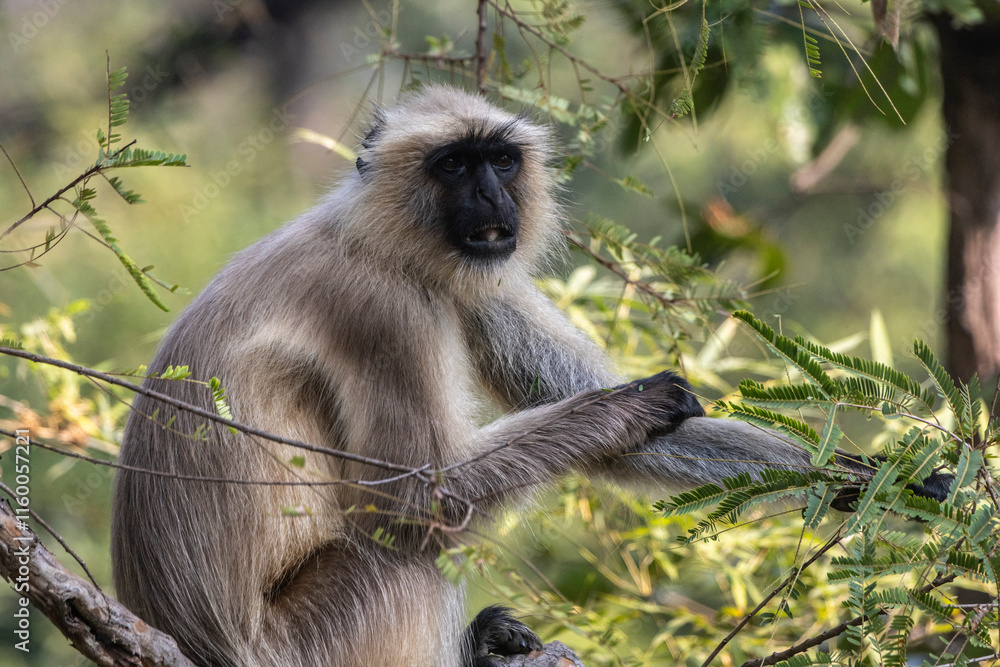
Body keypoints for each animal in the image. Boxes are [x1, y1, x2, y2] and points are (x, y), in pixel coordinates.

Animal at [111, 85, 948, 667]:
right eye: (454, 164)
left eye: (500, 160)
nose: (490, 195)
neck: (374, 239)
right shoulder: (382, 310)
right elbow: (417, 501)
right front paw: (627, 404)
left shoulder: (468, 273)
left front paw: (876, 477)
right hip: (307, 642)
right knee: (405, 548)